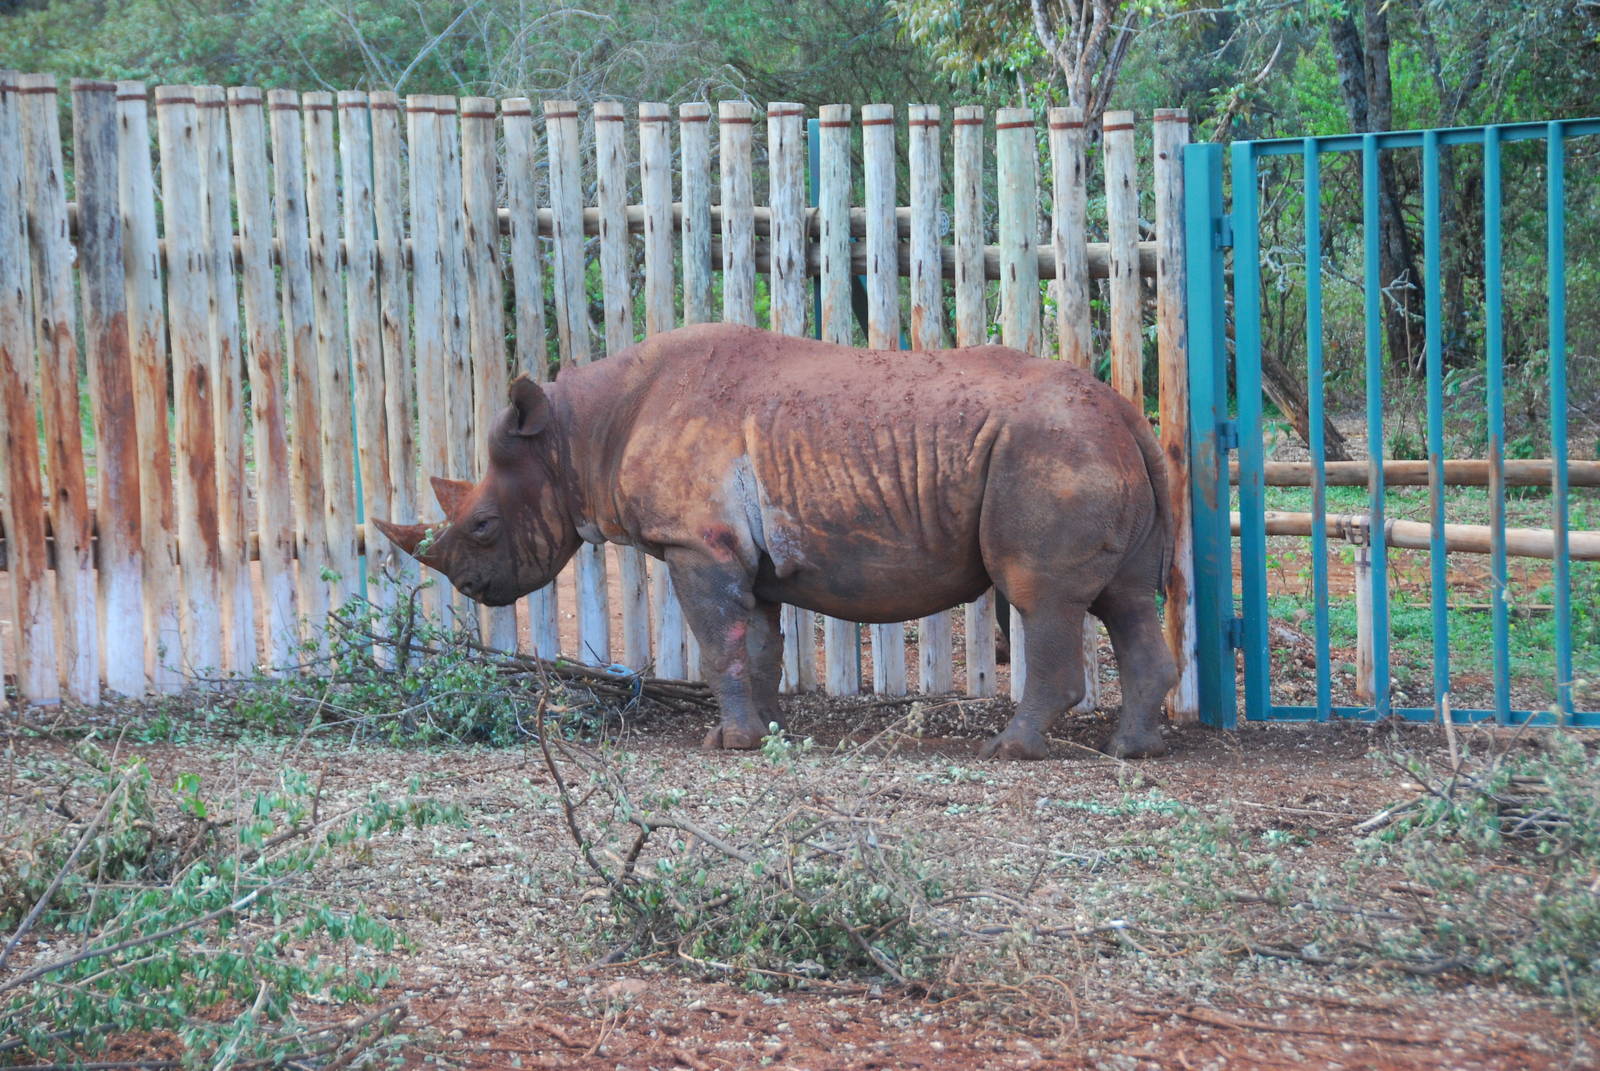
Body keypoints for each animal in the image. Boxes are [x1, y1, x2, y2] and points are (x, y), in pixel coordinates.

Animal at [375, 322, 1177, 760]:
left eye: (482, 525)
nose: (470, 588)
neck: (577, 436)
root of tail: (1123, 411)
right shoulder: (738, 555)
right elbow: (755, 644)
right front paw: (763, 732)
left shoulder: (696, 544)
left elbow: (716, 642)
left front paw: (726, 744)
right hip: (1084, 444)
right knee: (1129, 601)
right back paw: (1130, 749)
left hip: (1049, 450)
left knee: (1042, 597)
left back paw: (1008, 749)